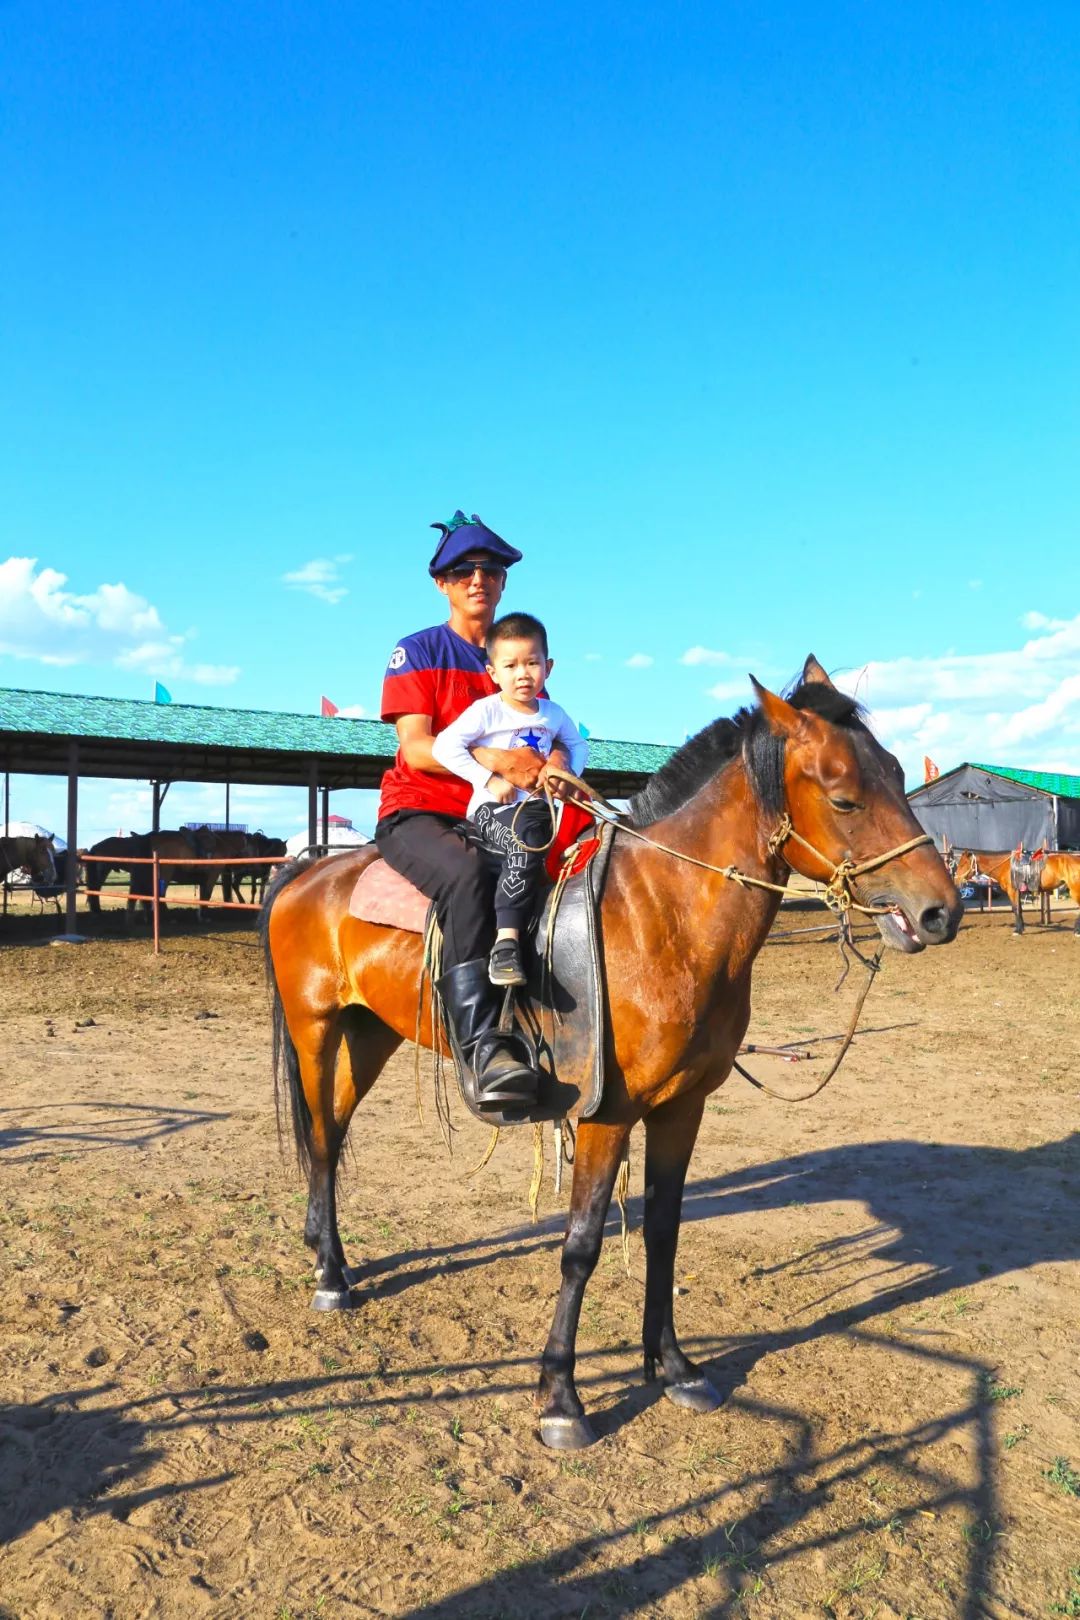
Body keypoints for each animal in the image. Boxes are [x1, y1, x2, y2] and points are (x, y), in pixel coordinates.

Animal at [263, 651, 965, 1451]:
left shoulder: (682, 1108)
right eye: (846, 798)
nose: (942, 911)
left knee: (333, 1129)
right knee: (322, 1140)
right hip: (316, 1031)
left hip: (368, 1034)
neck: (660, 912)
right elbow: (581, 1246)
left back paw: (330, 1257)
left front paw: (674, 1366)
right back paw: (329, 1278)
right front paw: (561, 1399)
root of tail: (307, 871)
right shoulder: (606, 1114)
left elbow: (663, 1231)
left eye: (901, 776)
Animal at [952, 848, 1080, 939]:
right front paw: (1021, 928)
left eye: (962, 864)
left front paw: (1017, 931)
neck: (1006, 867)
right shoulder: (1018, 892)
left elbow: (1015, 909)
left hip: (1075, 890)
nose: (956, 880)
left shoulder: (1012, 891)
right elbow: (1019, 909)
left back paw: (1077, 931)